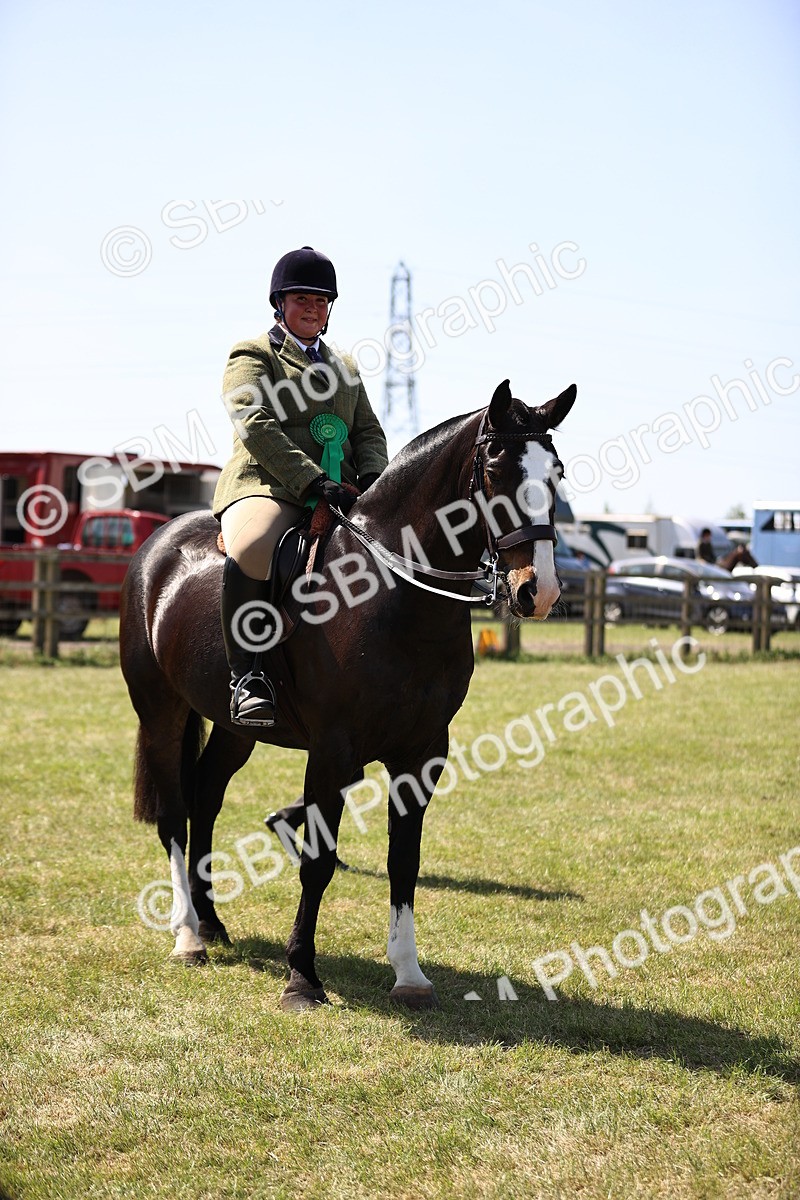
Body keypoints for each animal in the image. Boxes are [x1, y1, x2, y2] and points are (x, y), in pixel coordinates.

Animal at [119, 378, 577, 1011]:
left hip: (237, 729)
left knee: (206, 797)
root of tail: (157, 544)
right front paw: (301, 978)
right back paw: (189, 935)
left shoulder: (422, 753)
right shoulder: (333, 752)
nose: (539, 591)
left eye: (556, 473)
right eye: (495, 471)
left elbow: (404, 860)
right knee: (174, 815)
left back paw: (211, 921)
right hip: (160, 712)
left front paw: (408, 974)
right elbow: (318, 861)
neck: (393, 593)